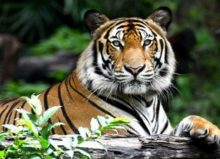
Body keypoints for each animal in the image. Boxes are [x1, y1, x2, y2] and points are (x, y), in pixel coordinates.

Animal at [0, 6, 220, 146]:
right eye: (116, 44)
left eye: (147, 42)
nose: (135, 69)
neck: (145, 100)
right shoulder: (109, 133)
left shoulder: (162, 135)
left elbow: (190, 118)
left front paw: (210, 130)